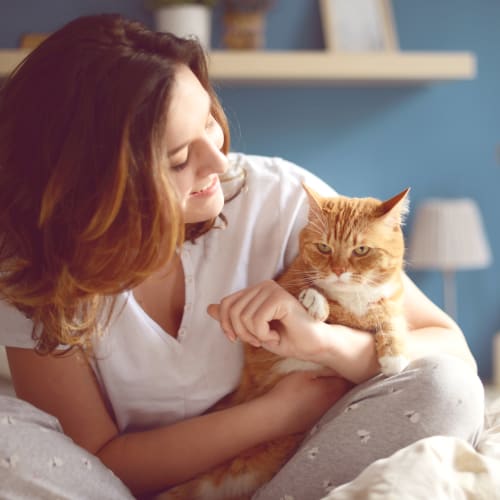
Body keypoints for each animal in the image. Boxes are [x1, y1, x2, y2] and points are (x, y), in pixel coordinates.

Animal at [160, 184, 410, 500]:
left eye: (361, 250)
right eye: (324, 247)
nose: (338, 271)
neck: (351, 300)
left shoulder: (391, 301)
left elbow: (391, 318)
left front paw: (394, 354)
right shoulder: (257, 340)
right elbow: (310, 294)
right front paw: (316, 300)